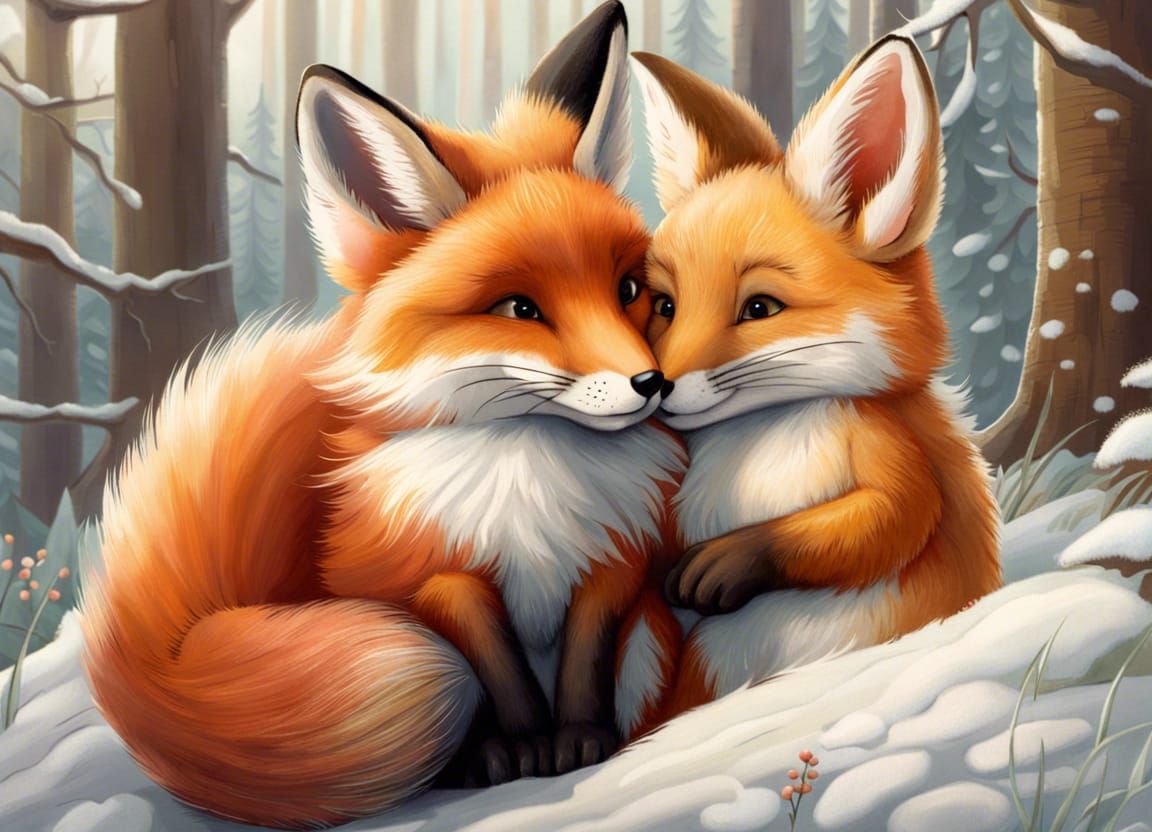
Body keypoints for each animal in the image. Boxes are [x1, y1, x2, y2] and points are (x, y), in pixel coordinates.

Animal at [80, 5, 685, 828]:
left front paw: (585, 742)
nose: (651, 383)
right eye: (519, 309)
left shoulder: (614, 561)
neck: (533, 484)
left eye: (628, 289)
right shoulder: (420, 575)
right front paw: (520, 752)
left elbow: (585, 667)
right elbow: (499, 677)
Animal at [630, 37, 1002, 715]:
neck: (758, 439)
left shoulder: (883, 443)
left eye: (759, 308)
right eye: (666, 305)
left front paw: (729, 559)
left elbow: (889, 518)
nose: (657, 383)